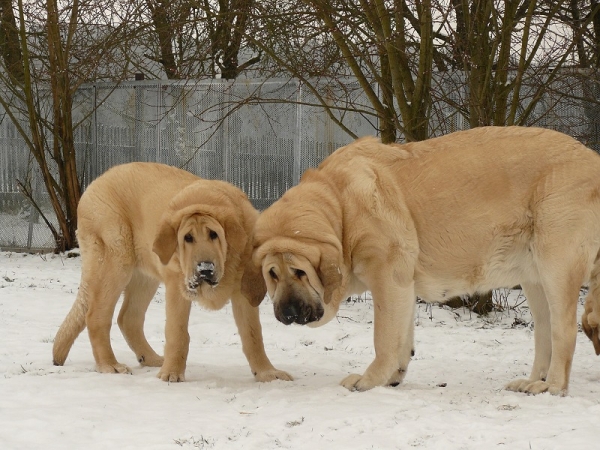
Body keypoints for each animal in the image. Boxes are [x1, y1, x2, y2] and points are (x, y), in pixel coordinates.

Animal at [52, 163, 292, 384]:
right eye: (188, 238)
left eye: (214, 234)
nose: (205, 269)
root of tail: (94, 184)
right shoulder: (177, 287)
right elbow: (177, 333)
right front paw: (171, 374)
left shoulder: (243, 291)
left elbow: (253, 335)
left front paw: (267, 373)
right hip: (114, 262)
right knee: (96, 316)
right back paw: (110, 365)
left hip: (144, 277)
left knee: (128, 318)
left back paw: (151, 358)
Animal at [252, 125, 600, 394]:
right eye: (272, 274)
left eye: (299, 271)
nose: (287, 313)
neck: (341, 209)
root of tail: (593, 159)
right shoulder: (401, 286)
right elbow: (400, 337)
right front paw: (391, 378)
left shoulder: (387, 279)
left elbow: (383, 338)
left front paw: (368, 380)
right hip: (535, 279)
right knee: (544, 333)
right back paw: (531, 382)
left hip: (556, 268)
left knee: (564, 331)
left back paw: (551, 386)